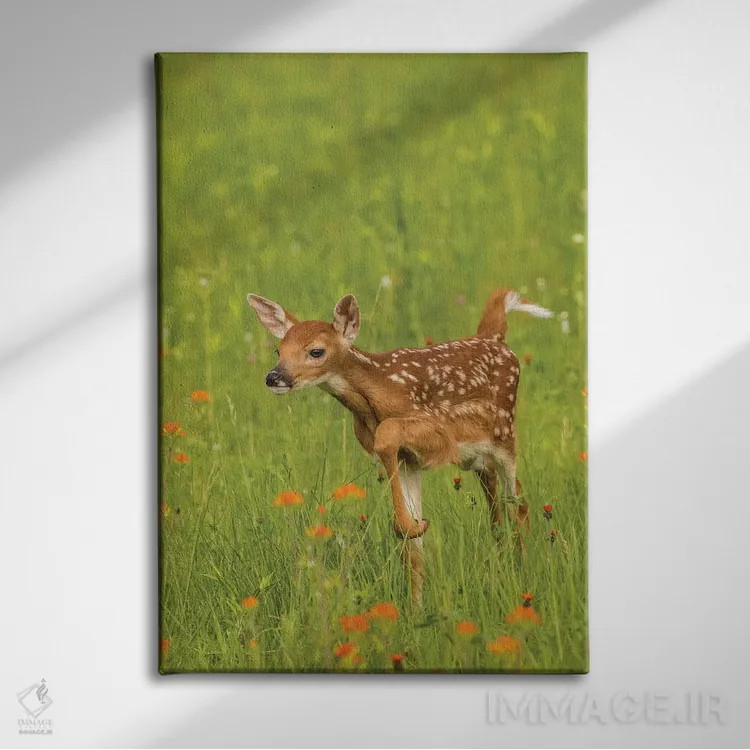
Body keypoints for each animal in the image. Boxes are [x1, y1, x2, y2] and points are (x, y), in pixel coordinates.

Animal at [247, 288, 552, 605]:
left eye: (316, 351)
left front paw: (411, 527)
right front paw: (415, 607)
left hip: (505, 433)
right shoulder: (409, 459)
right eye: (278, 350)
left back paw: (524, 574)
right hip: (480, 457)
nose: (274, 377)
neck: (378, 396)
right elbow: (413, 547)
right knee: (496, 504)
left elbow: (388, 432)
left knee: (518, 503)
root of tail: (495, 338)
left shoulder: (437, 429)